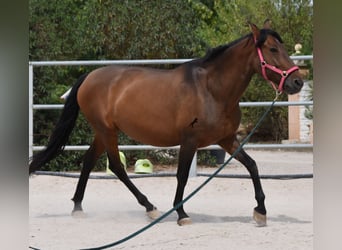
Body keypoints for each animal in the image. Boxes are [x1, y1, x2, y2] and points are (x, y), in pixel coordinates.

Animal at [28, 22, 302, 227]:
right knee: (117, 167)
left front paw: (261, 211)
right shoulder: (189, 140)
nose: (297, 82)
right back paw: (149, 207)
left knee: (88, 162)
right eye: (272, 49)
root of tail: (89, 76)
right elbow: (181, 176)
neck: (212, 89)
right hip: (106, 131)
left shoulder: (227, 139)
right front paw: (181, 214)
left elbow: (252, 165)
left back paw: (78, 207)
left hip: (103, 131)